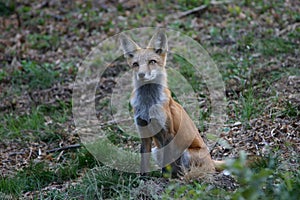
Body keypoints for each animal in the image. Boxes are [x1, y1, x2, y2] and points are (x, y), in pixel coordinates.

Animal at [118, 30, 224, 177]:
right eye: (135, 64)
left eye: (152, 61)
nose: (141, 74)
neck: (148, 104)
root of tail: (211, 160)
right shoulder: (143, 129)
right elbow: (144, 160)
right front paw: (143, 178)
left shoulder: (168, 131)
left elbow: (167, 163)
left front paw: (166, 179)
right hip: (156, 150)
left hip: (186, 153)